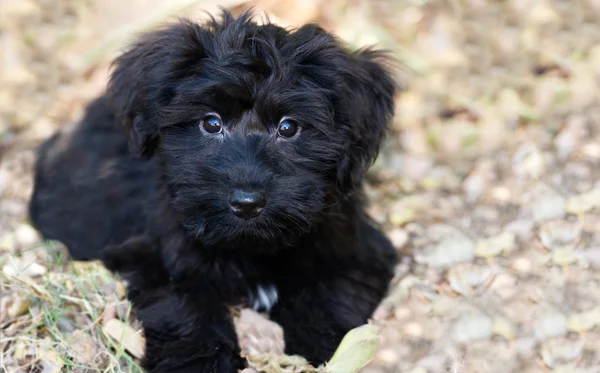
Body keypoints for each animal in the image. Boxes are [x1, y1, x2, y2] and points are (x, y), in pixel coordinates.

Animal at [31, 10, 398, 372]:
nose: (247, 203)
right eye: (211, 123)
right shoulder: (157, 253)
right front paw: (202, 361)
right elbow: (184, 306)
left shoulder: (355, 248)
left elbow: (330, 292)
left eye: (288, 127)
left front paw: (322, 348)